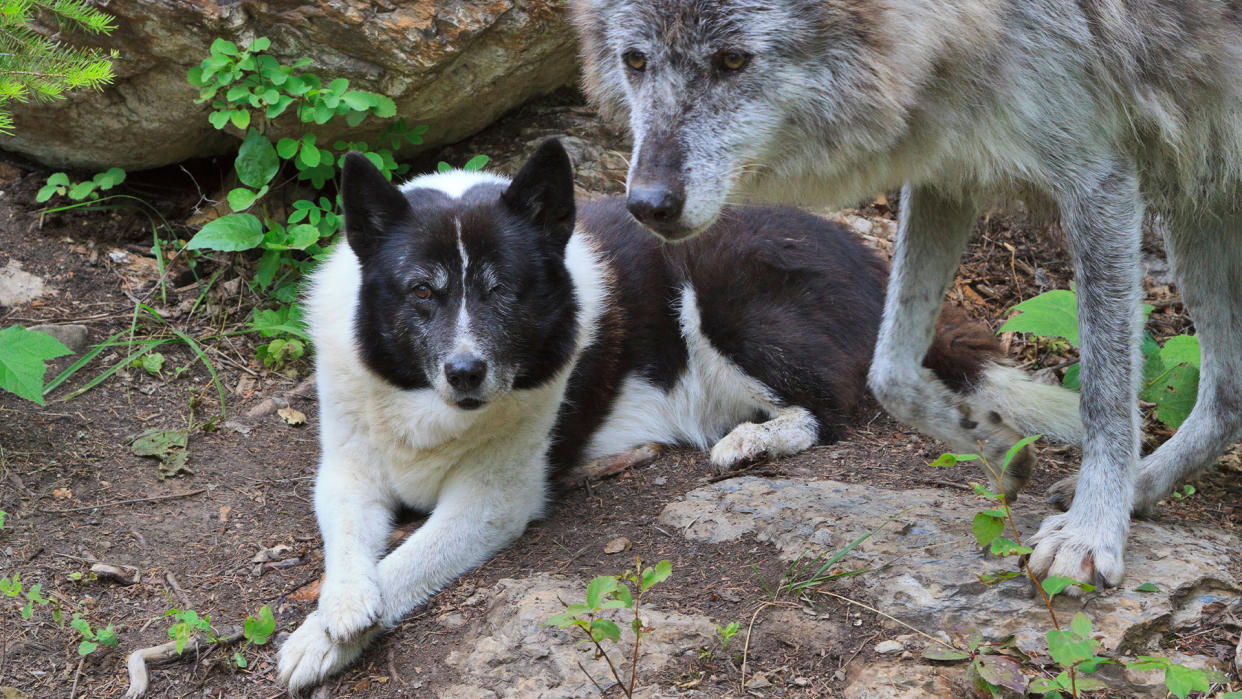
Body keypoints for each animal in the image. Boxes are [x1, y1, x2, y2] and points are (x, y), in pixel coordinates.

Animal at [276, 139, 1073, 690]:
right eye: (422, 291)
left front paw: (319, 638)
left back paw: (750, 440)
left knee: (827, 409)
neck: (422, 403)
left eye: (504, 291)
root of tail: (880, 270)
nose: (466, 372)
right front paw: (338, 613)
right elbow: (348, 543)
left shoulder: (492, 502)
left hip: (723, 291)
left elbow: (407, 561)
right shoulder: (346, 469)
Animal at [571, 0, 1242, 590]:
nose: (647, 205)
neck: (968, 28)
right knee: (1229, 392)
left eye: (733, 60)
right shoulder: (946, 171)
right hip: (1200, 203)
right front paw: (993, 446)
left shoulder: (1099, 181)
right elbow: (889, 370)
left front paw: (1091, 533)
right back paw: (1141, 487)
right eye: (635, 60)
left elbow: (1105, 397)